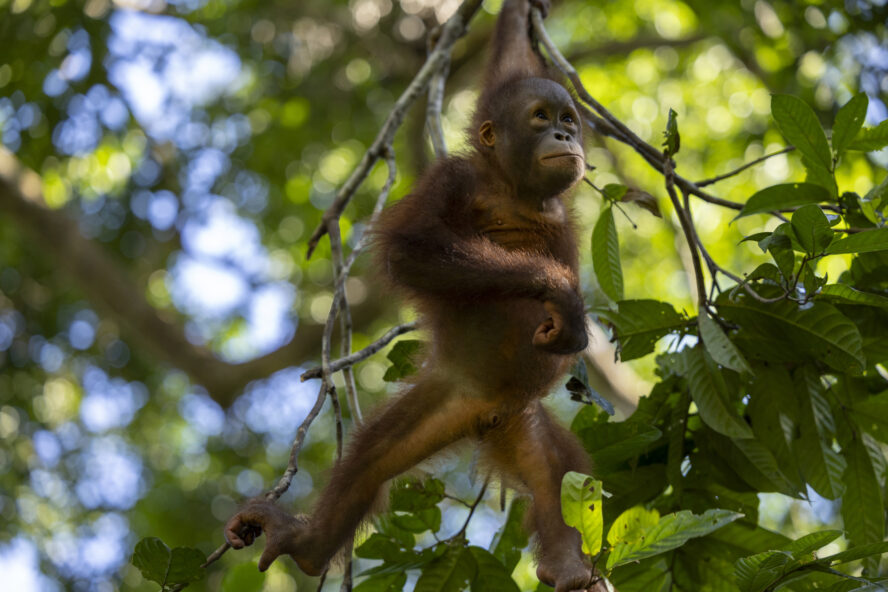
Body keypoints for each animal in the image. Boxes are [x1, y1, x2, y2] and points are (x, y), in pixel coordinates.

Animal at [224, 1, 595, 590]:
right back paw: (309, 545)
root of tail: (488, 416)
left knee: (554, 474)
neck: (517, 193)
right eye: (541, 117)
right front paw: (562, 296)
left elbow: (508, 64)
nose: (564, 138)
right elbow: (409, 249)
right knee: (371, 457)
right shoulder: (453, 179)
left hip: (523, 420)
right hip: (445, 399)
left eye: (568, 120)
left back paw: (566, 564)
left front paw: (518, 13)